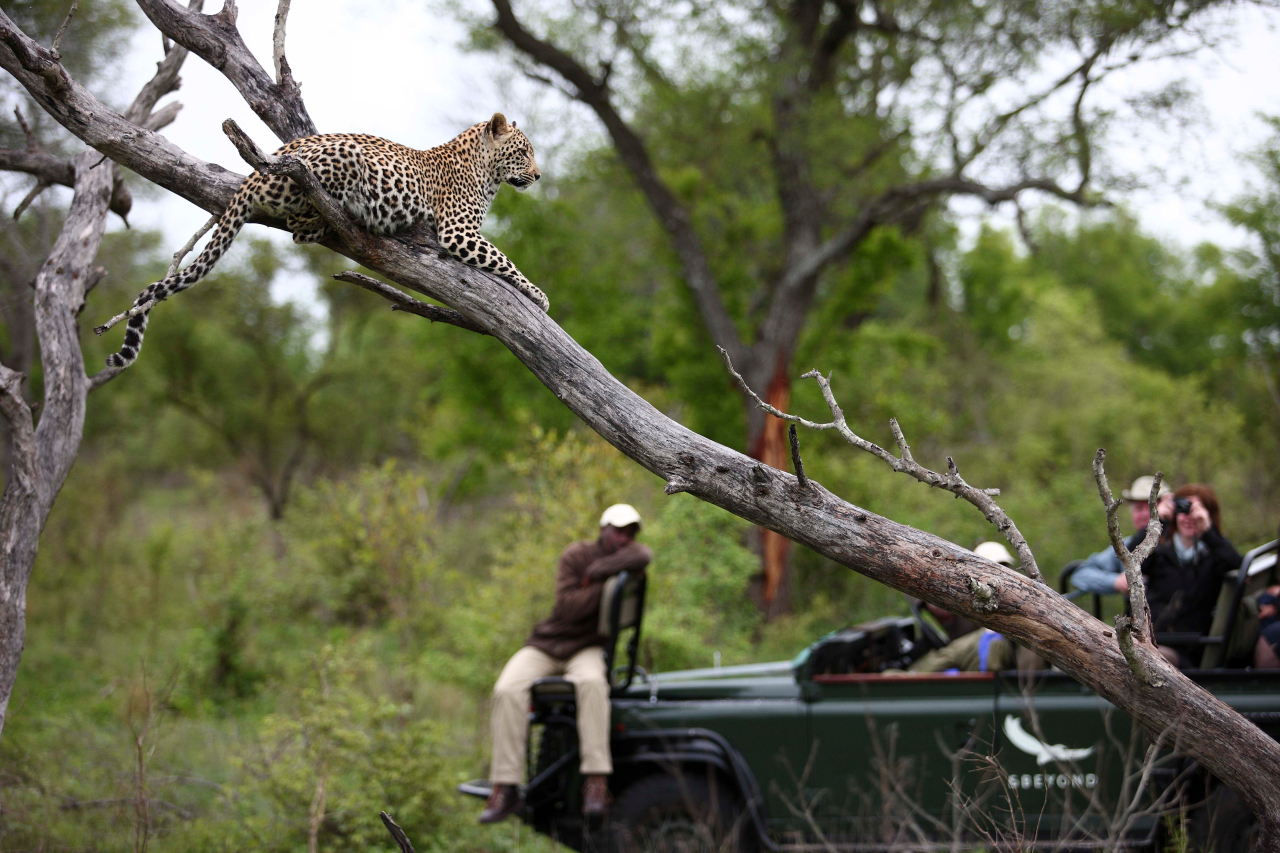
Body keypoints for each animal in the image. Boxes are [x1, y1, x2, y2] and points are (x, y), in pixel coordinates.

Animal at [98, 112, 547, 369]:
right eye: (524, 152)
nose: (539, 176)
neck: (486, 171)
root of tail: (255, 173)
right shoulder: (458, 231)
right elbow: (504, 259)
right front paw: (539, 296)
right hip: (341, 159)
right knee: (299, 222)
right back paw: (338, 218)